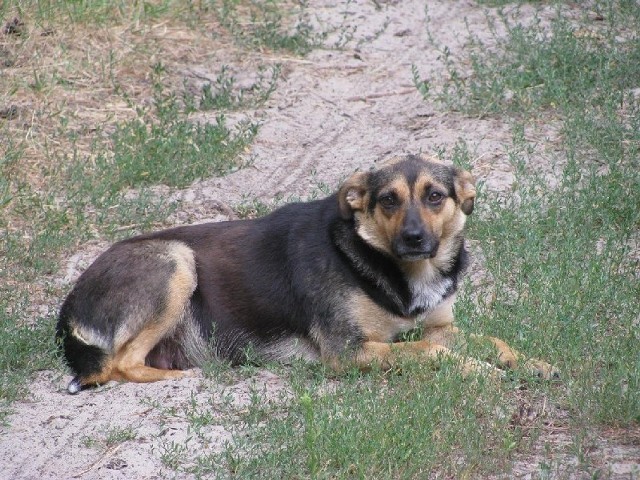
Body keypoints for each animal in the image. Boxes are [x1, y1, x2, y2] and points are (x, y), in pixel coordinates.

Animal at [55, 155, 556, 394]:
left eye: (435, 196)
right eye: (388, 200)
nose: (414, 238)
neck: (397, 269)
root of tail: (69, 306)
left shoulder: (436, 326)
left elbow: (493, 341)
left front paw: (532, 363)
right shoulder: (347, 351)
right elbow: (431, 354)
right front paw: (481, 373)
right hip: (177, 260)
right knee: (118, 365)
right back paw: (189, 377)